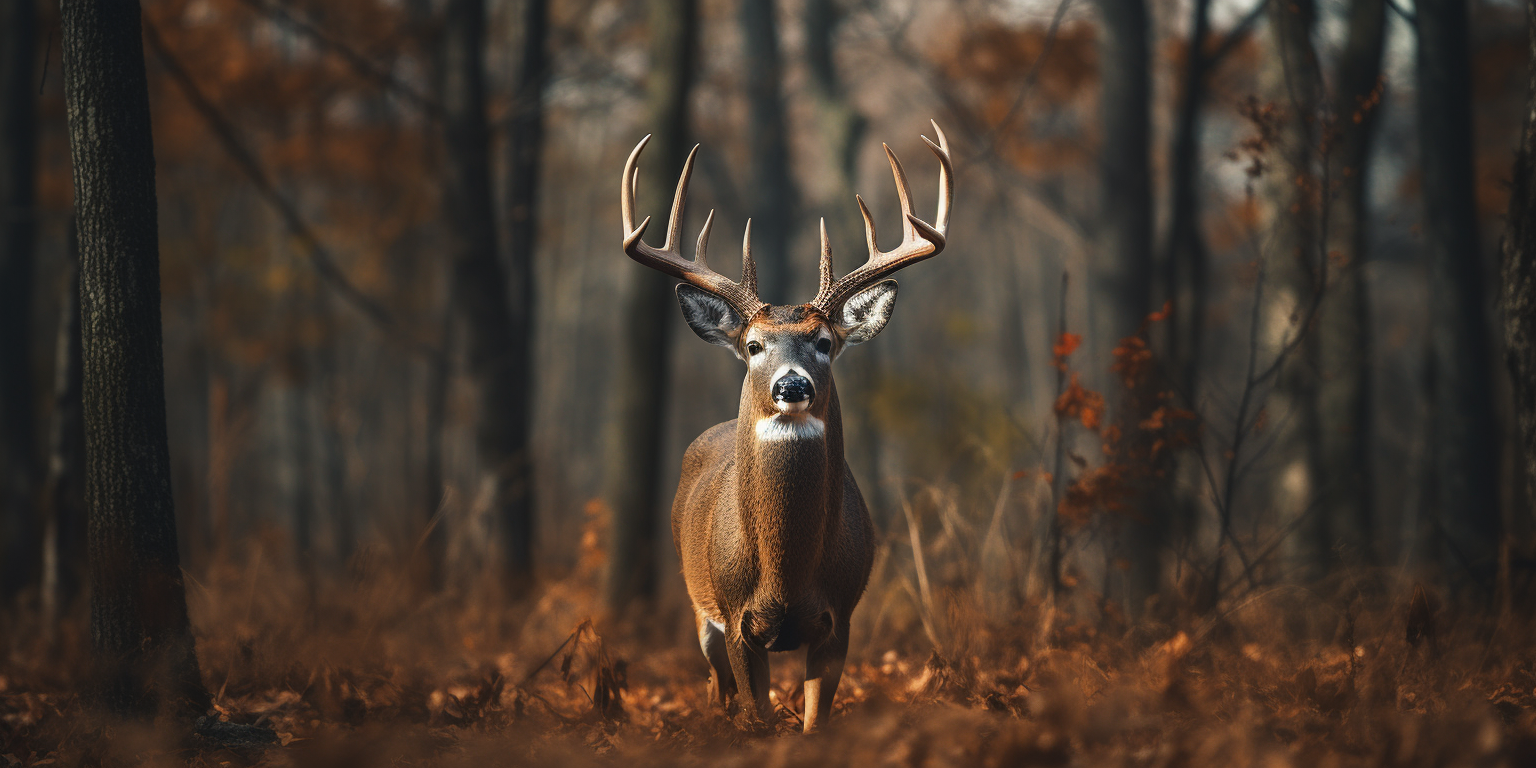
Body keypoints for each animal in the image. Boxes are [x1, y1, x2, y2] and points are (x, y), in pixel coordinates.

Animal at [620, 119, 952, 731]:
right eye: (753, 345)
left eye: (823, 342)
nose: (791, 386)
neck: (786, 574)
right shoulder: (735, 619)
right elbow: (759, 716)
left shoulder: (840, 618)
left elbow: (813, 722)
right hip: (697, 606)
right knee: (716, 688)